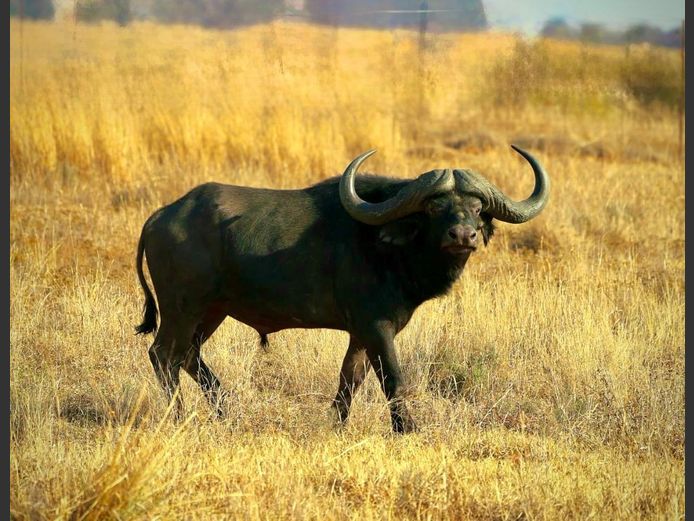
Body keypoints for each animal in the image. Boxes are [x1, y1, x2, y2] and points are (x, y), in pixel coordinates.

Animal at [135, 146, 549, 433]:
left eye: (478, 208)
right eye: (435, 207)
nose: (463, 235)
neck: (387, 246)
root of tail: (161, 216)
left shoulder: (361, 333)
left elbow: (351, 379)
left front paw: (338, 424)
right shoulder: (377, 327)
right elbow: (393, 377)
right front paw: (407, 428)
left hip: (211, 312)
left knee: (188, 355)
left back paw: (224, 410)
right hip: (182, 308)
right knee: (163, 354)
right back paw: (179, 416)